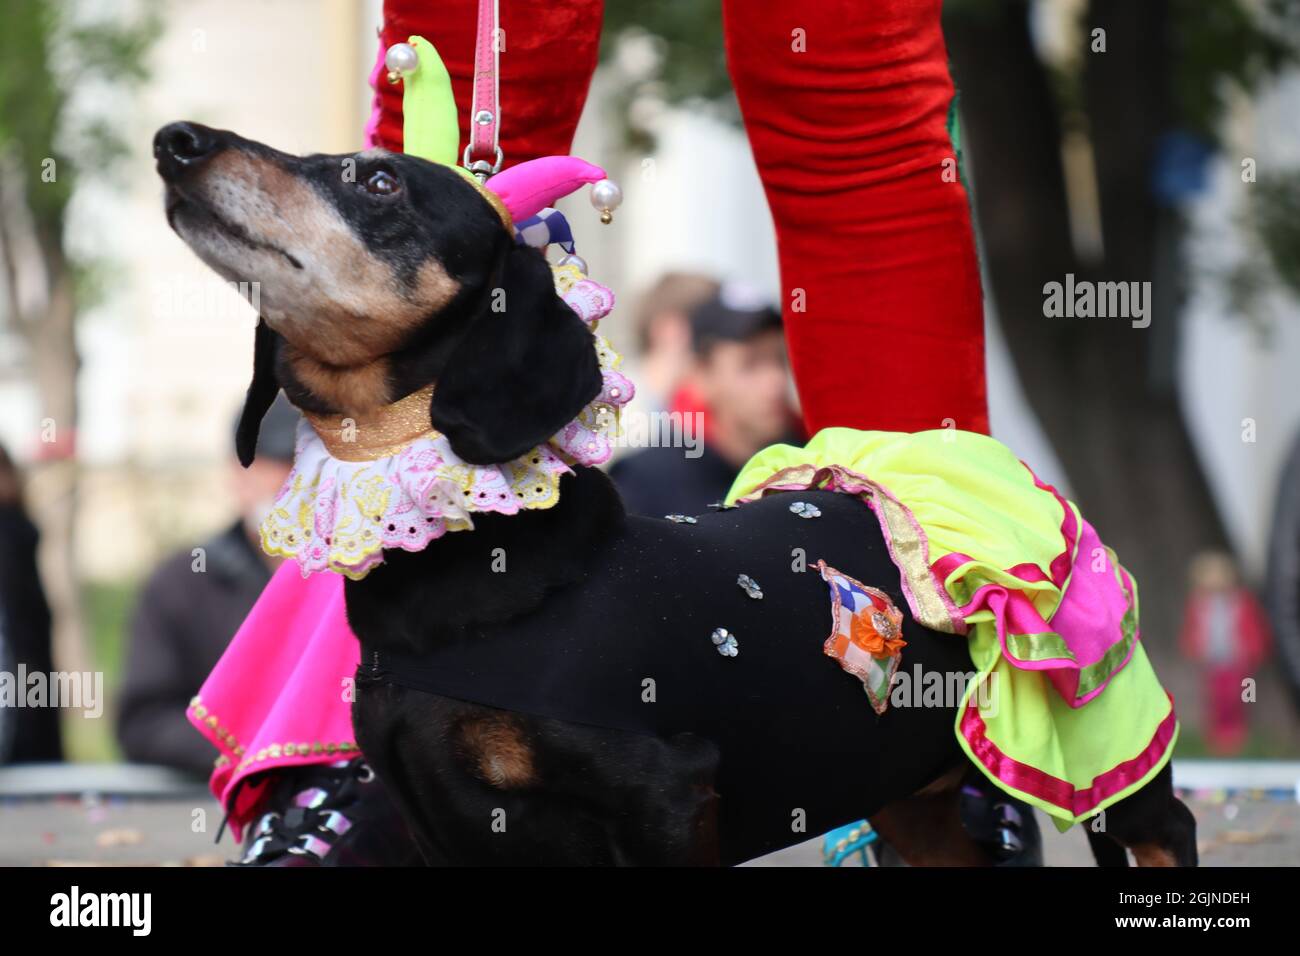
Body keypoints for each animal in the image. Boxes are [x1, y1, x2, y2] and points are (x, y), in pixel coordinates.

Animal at [154, 119, 1196, 868]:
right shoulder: (440, 825)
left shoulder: (665, 795)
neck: (485, 572)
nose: (177, 140)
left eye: (378, 183)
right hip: (911, 798)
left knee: (1164, 829)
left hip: (1110, 758)